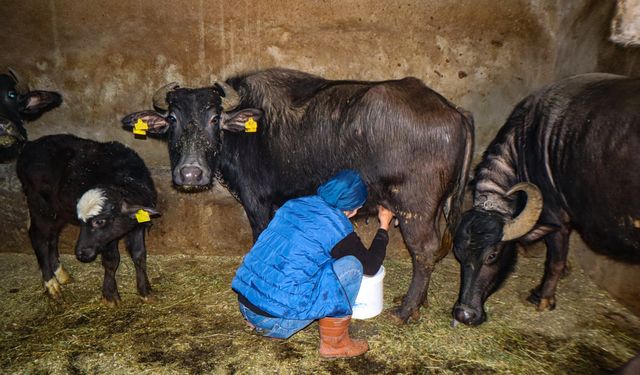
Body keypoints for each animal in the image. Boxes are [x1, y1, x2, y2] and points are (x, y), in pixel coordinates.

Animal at [17, 134, 159, 306]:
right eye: (81, 221)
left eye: (99, 221)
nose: (80, 253)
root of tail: (28, 146)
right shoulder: (107, 240)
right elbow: (112, 260)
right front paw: (110, 294)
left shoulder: (138, 226)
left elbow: (139, 256)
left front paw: (145, 291)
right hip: (40, 207)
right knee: (38, 239)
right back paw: (51, 284)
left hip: (57, 212)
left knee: (52, 238)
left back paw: (61, 273)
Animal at [122, 68, 476, 324]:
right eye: (172, 119)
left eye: (214, 118)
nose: (190, 173)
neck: (246, 135)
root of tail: (453, 110)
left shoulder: (256, 202)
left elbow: (260, 239)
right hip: (435, 209)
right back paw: (417, 302)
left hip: (416, 208)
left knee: (425, 251)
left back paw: (404, 311)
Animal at [450, 73, 640, 326]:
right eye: (459, 254)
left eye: (492, 255)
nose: (463, 314)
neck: (526, 141)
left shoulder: (556, 216)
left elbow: (554, 261)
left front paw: (543, 297)